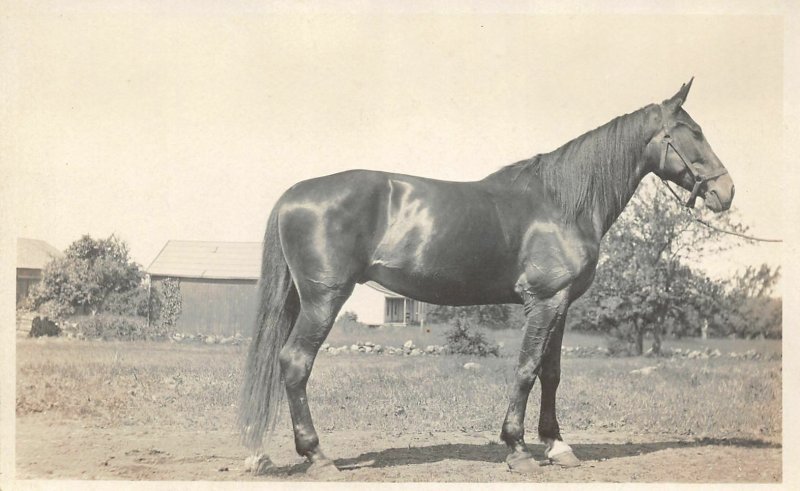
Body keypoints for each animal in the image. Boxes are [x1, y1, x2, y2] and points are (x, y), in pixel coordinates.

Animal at [239, 80, 736, 476]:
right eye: (693, 132)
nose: (726, 192)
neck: (561, 202)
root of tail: (294, 193)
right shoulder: (544, 301)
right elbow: (526, 369)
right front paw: (517, 449)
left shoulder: (561, 304)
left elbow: (551, 373)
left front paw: (558, 445)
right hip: (323, 299)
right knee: (295, 363)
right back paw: (318, 457)